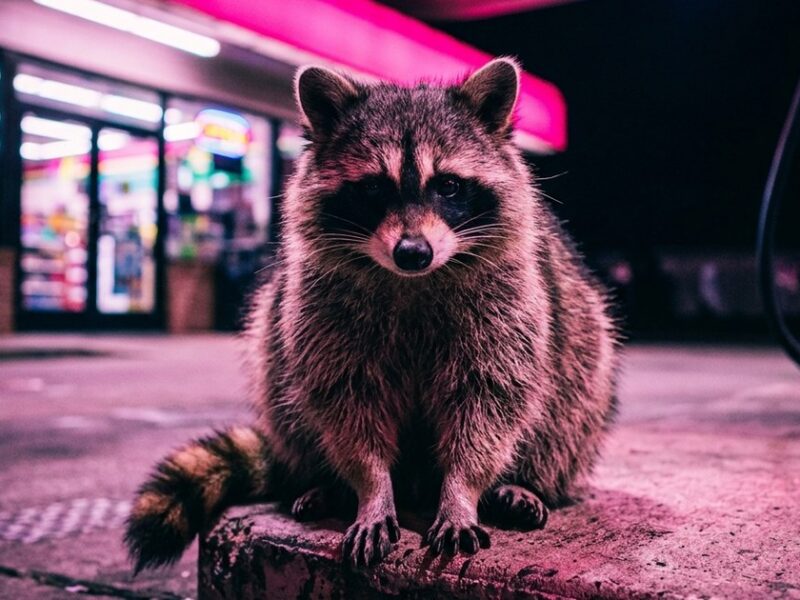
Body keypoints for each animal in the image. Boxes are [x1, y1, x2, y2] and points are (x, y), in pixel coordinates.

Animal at [125, 58, 620, 571]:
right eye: (374, 188)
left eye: (448, 186)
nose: (413, 252)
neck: (414, 279)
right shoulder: (322, 309)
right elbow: (347, 402)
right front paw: (371, 488)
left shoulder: (509, 304)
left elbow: (489, 400)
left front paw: (462, 490)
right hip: (278, 338)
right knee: (279, 374)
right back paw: (324, 482)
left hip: (578, 350)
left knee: (571, 399)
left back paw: (525, 482)